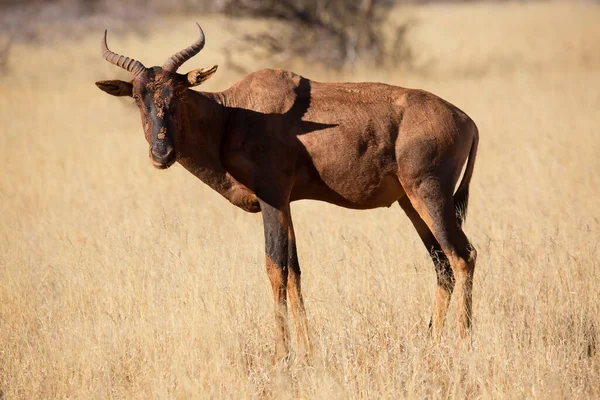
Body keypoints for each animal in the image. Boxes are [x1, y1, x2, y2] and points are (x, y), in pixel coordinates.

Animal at [97, 24, 478, 362]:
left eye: (178, 94)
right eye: (138, 97)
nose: (161, 154)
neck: (233, 113)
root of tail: (467, 121)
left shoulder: (272, 197)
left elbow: (275, 267)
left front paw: (281, 355)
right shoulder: (286, 204)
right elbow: (294, 271)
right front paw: (307, 352)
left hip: (430, 194)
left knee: (464, 256)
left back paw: (463, 342)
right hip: (409, 203)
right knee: (442, 265)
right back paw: (432, 341)